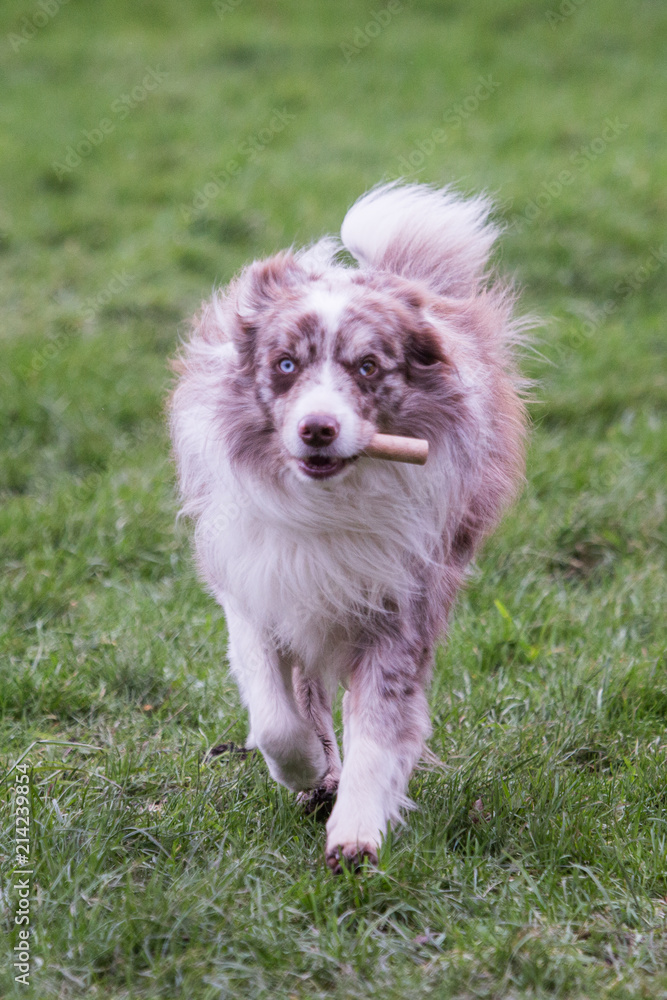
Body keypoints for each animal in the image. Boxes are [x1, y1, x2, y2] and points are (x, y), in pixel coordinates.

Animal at [170, 184, 528, 872]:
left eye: (367, 367)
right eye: (285, 364)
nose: (318, 429)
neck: (328, 503)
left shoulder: (402, 604)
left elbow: (380, 730)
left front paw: (356, 832)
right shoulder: (256, 588)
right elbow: (277, 718)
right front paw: (306, 771)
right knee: (305, 689)